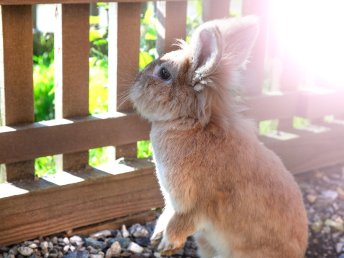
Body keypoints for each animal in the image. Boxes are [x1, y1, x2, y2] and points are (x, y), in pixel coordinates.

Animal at [129, 16, 310, 258]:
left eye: (164, 73)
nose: (134, 86)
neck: (192, 124)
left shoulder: (196, 204)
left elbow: (180, 223)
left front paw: (166, 245)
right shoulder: (172, 201)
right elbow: (166, 215)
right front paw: (157, 236)